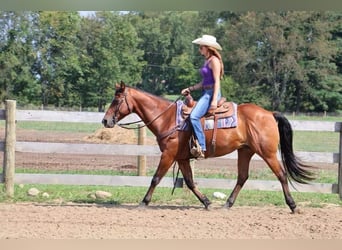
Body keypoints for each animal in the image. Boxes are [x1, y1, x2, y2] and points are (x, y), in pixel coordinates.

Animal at [101, 81, 312, 213]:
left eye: (117, 100)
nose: (105, 120)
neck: (167, 118)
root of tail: (269, 113)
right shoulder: (181, 158)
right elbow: (190, 181)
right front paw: (207, 202)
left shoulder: (169, 154)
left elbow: (155, 178)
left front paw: (143, 202)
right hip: (245, 151)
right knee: (242, 177)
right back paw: (227, 204)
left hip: (267, 153)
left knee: (281, 174)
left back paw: (293, 206)